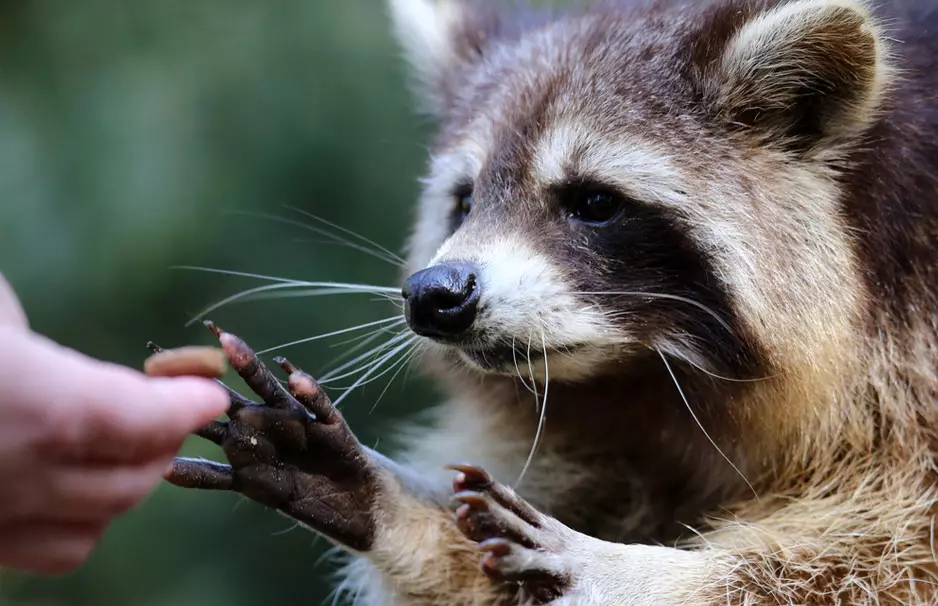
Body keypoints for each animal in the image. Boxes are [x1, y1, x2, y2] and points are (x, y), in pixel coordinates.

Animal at [165, 0, 936, 604]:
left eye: (593, 202)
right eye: (465, 201)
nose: (435, 295)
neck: (649, 374)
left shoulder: (914, 352)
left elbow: (889, 554)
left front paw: (641, 575)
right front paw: (397, 508)